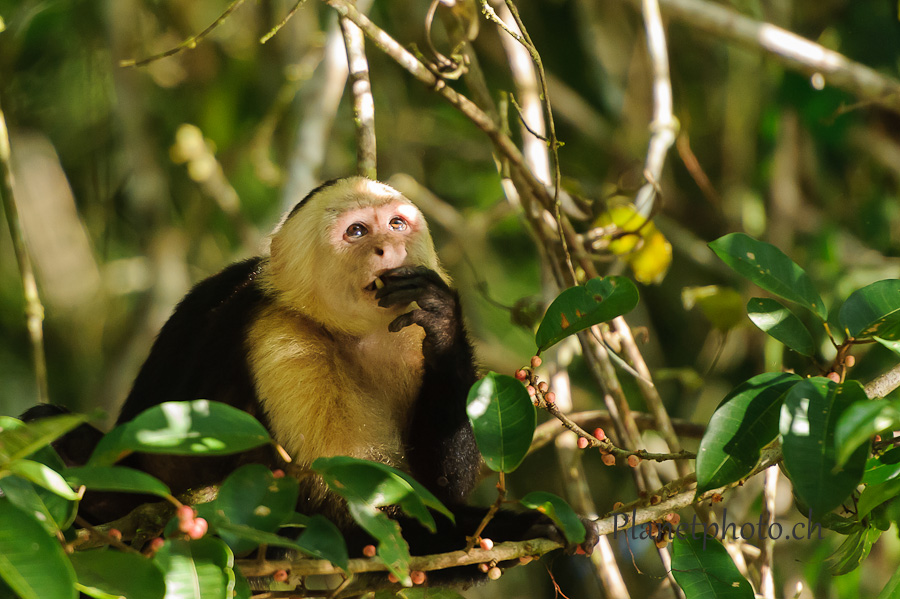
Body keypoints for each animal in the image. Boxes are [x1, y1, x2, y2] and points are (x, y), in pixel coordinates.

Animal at [33, 178, 596, 580]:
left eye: (396, 224)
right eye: (357, 232)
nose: (387, 250)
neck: (350, 334)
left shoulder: (404, 339)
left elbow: (440, 489)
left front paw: (441, 319)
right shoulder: (282, 341)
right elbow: (358, 522)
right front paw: (520, 525)